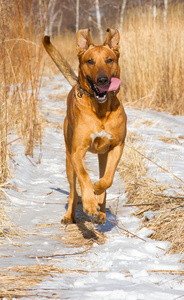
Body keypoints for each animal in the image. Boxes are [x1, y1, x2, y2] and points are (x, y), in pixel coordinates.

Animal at [43, 28, 126, 225]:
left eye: (109, 60)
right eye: (90, 61)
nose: (102, 80)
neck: (100, 109)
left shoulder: (117, 146)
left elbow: (108, 179)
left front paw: (97, 191)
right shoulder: (77, 151)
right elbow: (84, 175)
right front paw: (89, 202)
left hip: (103, 155)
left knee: (104, 178)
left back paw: (101, 211)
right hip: (68, 159)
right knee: (73, 189)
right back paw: (70, 215)